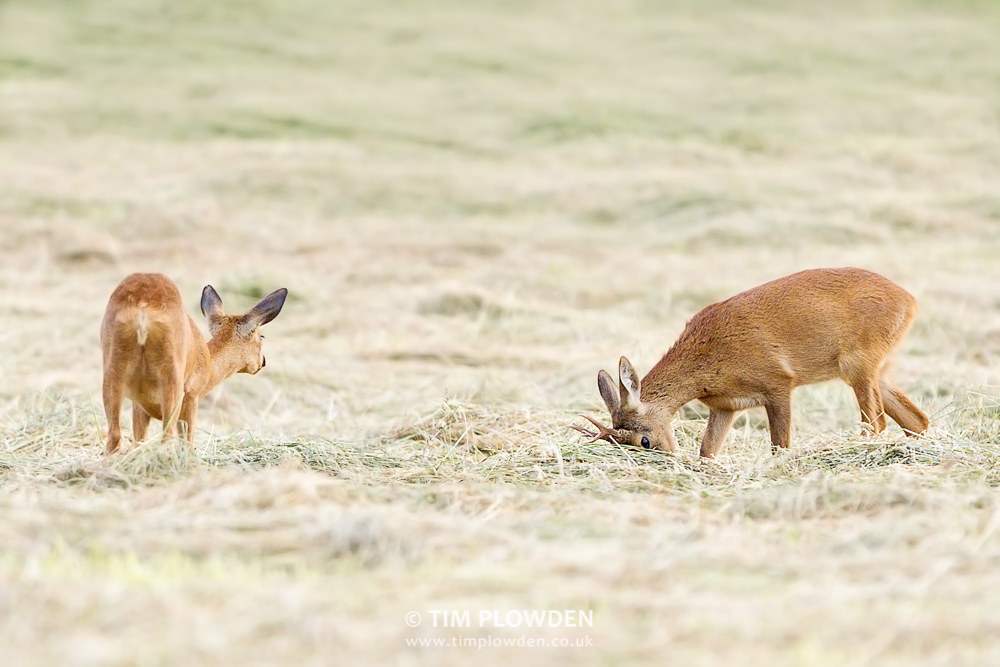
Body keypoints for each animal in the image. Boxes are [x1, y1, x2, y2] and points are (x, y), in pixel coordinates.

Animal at [100, 273, 287, 454]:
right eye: (261, 336)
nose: (262, 362)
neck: (208, 363)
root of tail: (143, 309)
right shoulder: (191, 394)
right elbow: (187, 442)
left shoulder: (138, 403)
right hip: (172, 379)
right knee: (167, 438)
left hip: (112, 371)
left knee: (114, 436)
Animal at [573, 268, 929, 458]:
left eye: (644, 441)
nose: (669, 461)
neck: (707, 360)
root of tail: (910, 301)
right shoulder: (726, 406)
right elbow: (707, 451)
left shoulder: (778, 381)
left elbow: (779, 445)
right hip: (876, 370)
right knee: (917, 420)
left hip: (860, 364)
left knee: (877, 423)